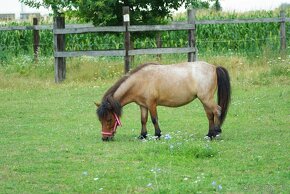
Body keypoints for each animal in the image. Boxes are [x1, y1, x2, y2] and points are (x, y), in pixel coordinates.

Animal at [96, 61, 230, 141]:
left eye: (109, 119)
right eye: (100, 120)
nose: (105, 138)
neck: (141, 80)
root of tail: (214, 67)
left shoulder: (151, 104)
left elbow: (154, 119)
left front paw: (157, 135)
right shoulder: (143, 105)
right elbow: (143, 120)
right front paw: (142, 135)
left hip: (206, 99)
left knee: (217, 111)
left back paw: (216, 132)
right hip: (204, 100)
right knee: (210, 115)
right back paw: (209, 135)